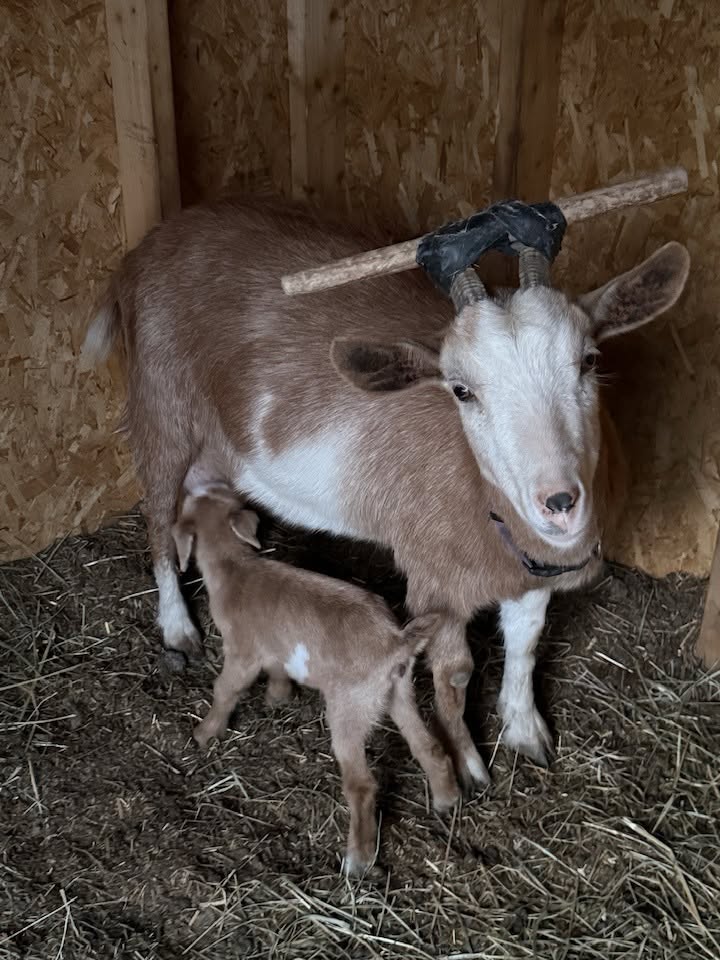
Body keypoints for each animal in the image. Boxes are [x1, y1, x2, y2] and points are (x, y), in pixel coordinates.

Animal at [84, 196, 689, 787]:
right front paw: (470, 768)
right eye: (461, 390)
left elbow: (526, 640)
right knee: (158, 518)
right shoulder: (438, 583)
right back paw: (178, 627)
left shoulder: (529, 567)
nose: (560, 504)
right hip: (161, 404)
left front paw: (525, 731)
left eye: (588, 360)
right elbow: (454, 674)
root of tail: (147, 246)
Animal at [173, 482, 459, 875]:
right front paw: (278, 697)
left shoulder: (243, 652)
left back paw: (358, 860)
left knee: (362, 785)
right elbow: (277, 669)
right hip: (399, 692)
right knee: (426, 744)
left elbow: (225, 688)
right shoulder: (275, 648)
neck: (235, 568)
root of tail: (395, 641)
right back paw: (447, 801)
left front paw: (205, 732)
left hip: (349, 708)